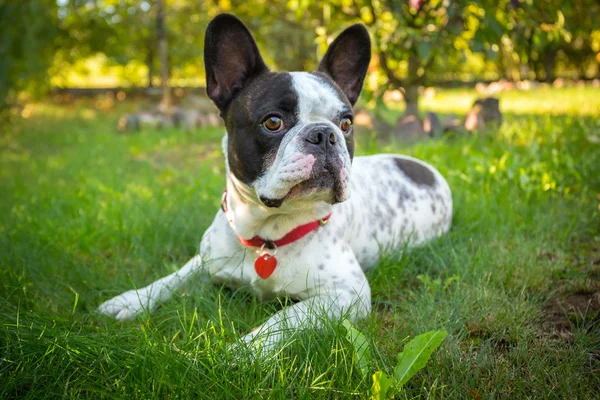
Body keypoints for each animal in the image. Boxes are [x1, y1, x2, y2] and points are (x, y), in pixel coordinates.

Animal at [98, 14, 452, 354]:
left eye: (346, 123)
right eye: (272, 122)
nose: (324, 134)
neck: (266, 233)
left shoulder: (345, 293)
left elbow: (285, 317)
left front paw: (245, 351)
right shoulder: (207, 257)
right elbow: (174, 277)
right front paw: (130, 300)